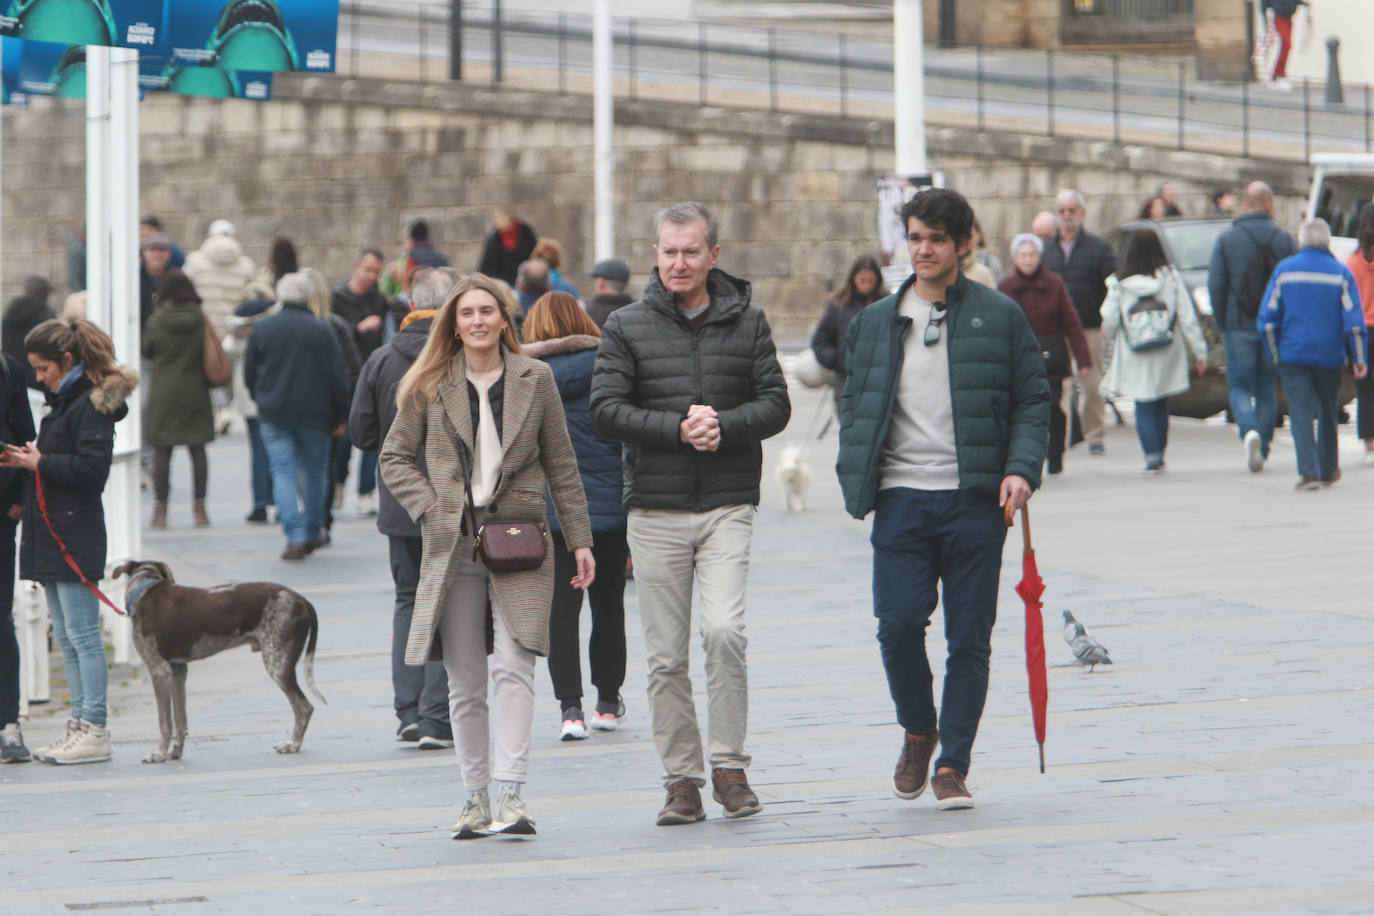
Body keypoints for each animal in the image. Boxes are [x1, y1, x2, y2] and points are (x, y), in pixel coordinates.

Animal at [113, 563, 327, 763]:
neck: (145, 588)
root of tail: (301, 600)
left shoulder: (159, 670)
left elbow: (164, 722)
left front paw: (159, 754)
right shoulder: (177, 670)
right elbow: (180, 720)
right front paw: (175, 751)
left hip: (277, 664)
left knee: (304, 707)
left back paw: (293, 744)